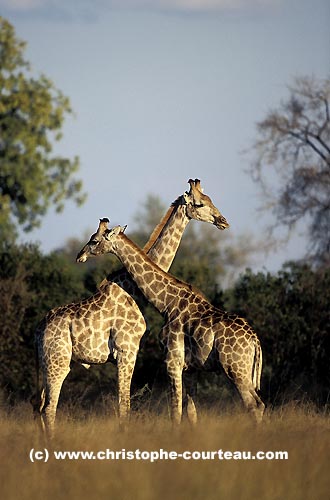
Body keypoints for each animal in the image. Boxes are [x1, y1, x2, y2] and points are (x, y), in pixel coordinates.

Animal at [34, 179, 229, 434]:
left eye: (209, 200)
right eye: (199, 204)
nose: (223, 221)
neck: (134, 290)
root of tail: (38, 331)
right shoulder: (127, 350)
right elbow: (124, 406)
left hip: (44, 363)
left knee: (38, 406)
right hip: (58, 360)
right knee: (49, 408)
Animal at [77, 225, 266, 424]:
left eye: (94, 240)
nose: (80, 256)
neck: (166, 304)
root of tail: (255, 341)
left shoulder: (172, 360)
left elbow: (175, 412)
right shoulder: (191, 368)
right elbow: (190, 410)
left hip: (236, 369)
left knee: (253, 405)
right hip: (244, 371)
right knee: (259, 404)